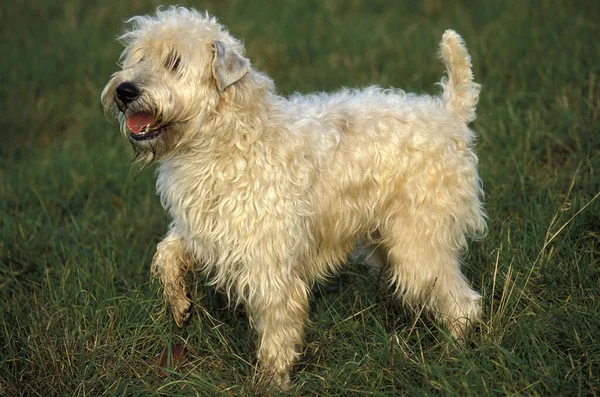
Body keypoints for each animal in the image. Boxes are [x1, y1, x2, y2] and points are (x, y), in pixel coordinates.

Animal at [102, 6, 488, 386]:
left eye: (175, 62)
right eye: (138, 56)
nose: (124, 90)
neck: (227, 137)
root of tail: (449, 116)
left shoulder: (268, 259)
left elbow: (277, 324)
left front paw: (271, 380)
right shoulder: (207, 228)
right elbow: (168, 250)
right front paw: (180, 304)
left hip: (417, 244)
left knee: (463, 303)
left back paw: (450, 356)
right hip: (390, 239)